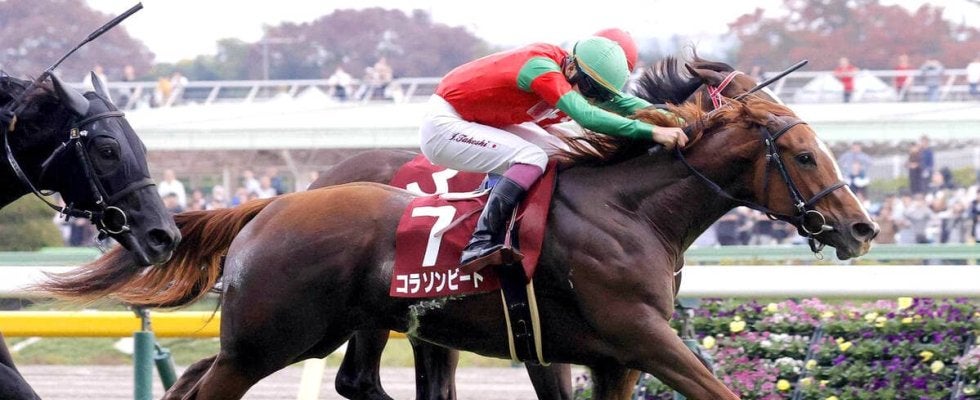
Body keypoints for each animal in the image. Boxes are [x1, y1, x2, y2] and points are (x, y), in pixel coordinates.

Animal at [39, 81, 878, 399]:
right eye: (806, 154)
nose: (861, 226)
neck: (633, 214)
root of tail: (270, 206)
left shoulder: (610, 359)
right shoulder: (642, 336)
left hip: (309, 332)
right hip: (270, 340)